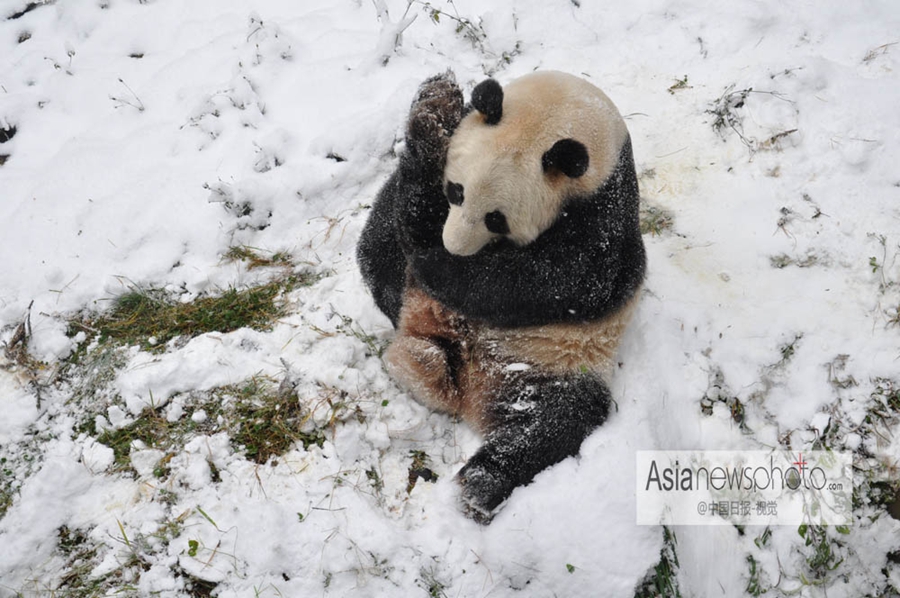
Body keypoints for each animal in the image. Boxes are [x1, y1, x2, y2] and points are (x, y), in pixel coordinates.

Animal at [356, 70, 644, 524]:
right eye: (455, 191)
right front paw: (433, 107)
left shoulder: (605, 214)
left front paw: (436, 265)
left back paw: (479, 486)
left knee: (556, 420)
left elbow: (559, 280)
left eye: (497, 219)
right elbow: (411, 203)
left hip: (554, 366)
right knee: (380, 253)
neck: (567, 111)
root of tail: (468, 394)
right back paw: (421, 360)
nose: (454, 247)